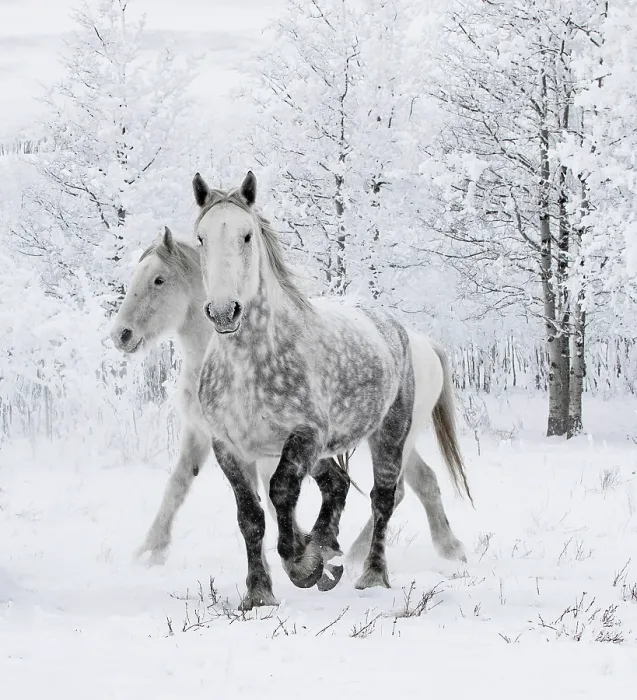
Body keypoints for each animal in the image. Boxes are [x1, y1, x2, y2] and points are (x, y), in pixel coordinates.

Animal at [192, 170, 471, 609]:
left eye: (247, 235)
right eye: (201, 238)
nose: (224, 312)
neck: (248, 367)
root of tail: (402, 329)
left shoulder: (305, 436)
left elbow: (282, 492)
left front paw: (303, 564)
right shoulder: (229, 447)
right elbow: (250, 516)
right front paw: (260, 594)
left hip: (389, 434)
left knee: (384, 496)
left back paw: (371, 573)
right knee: (340, 485)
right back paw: (333, 551)